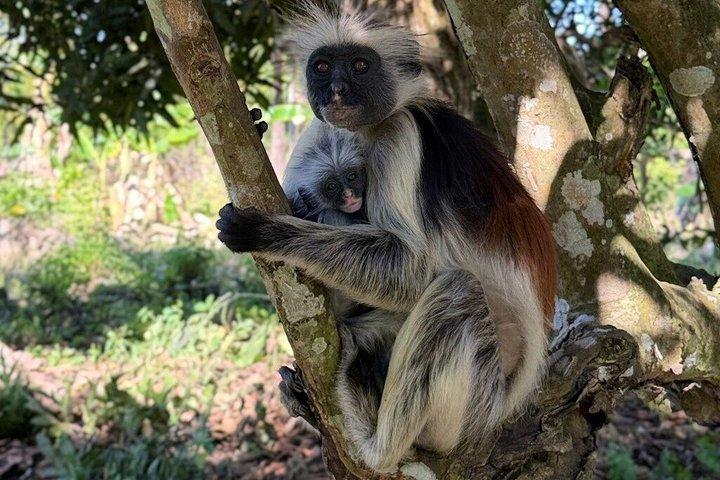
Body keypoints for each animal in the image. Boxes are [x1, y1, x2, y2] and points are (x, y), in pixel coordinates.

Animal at [216, 4, 557, 472]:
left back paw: (374, 444)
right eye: (323, 67)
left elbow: (412, 269)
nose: (337, 90)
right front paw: (257, 125)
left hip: (472, 403)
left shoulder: (400, 135)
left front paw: (267, 231)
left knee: (456, 292)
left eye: (361, 66)